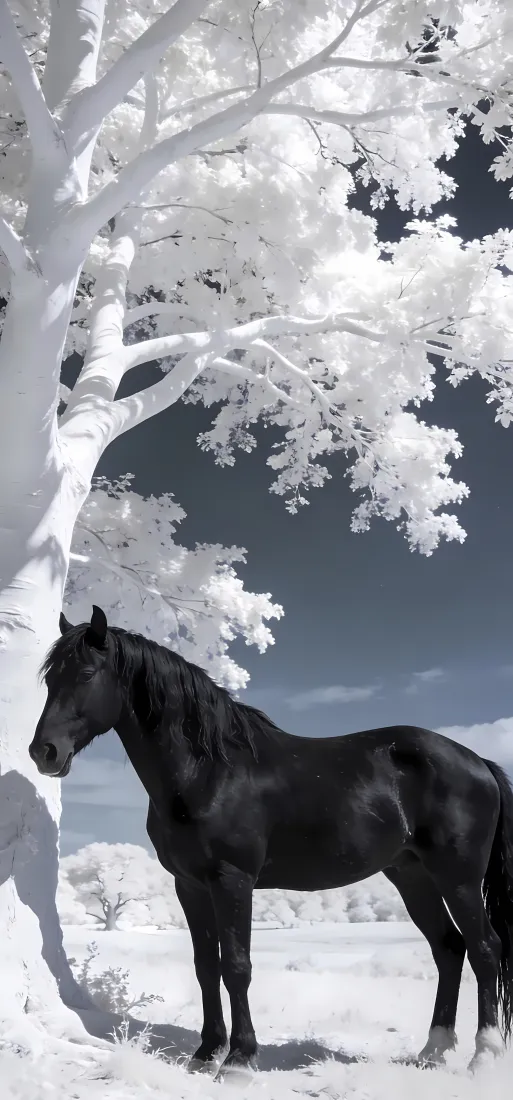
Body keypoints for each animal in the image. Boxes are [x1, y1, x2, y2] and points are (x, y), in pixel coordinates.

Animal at [29, 606, 513, 1077]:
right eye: (51, 679)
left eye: (86, 674)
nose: (43, 752)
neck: (208, 771)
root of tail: (478, 761)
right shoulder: (190, 885)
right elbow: (206, 967)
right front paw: (205, 1053)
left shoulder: (233, 880)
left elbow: (236, 966)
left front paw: (239, 1059)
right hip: (412, 876)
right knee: (448, 948)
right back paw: (432, 1052)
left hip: (459, 878)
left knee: (484, 949)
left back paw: (484, 1056)